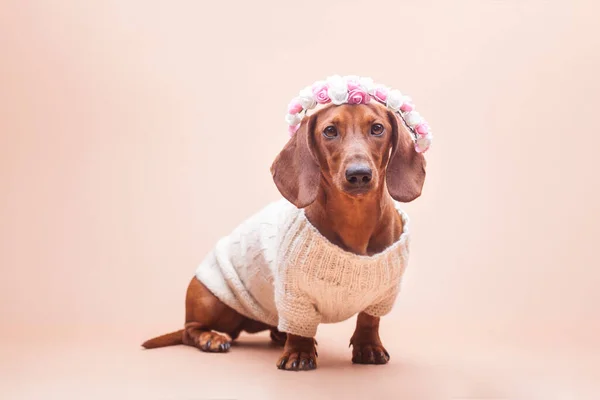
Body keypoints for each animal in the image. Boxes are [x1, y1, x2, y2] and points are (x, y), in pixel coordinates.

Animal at [141, 101, 424, 370]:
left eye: (377, 128)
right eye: (330, 131)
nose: (359, 174)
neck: (355, 220)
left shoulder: (383, 293)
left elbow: (368, 320)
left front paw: (368, 347)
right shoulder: (293, 292)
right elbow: (299, 327)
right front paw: (298, 352)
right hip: (212, 300)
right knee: (190, 331)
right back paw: (211, 337)